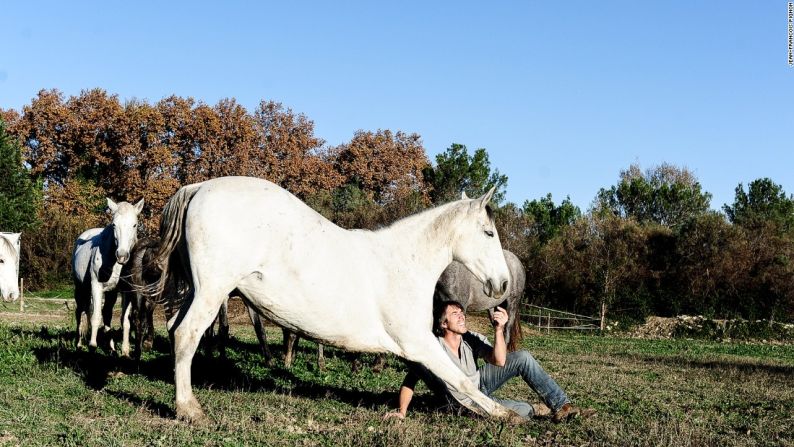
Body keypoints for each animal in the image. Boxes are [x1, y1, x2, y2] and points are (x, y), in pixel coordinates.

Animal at [72, 198, 143, 352]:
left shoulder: (126, 291)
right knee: (81, 312)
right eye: (114, 224)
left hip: (111, 293)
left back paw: (111, 348)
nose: (122, 256)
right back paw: (79, 344)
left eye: (134, 225)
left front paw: (125, 351)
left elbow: (125, 320)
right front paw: (92, 346)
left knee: (107, 314)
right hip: (80, 289)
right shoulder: (96, 286)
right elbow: (95, 317)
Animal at [149, 177, 512, 422]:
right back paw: (189, 409)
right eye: (489, 233)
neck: (402, 263)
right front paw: (505, 415)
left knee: (173, 328)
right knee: (187, 334)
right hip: (212, 291)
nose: (503, 284)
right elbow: (461, 380)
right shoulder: (417, 342)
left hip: (197, 292)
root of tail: (199, 187)